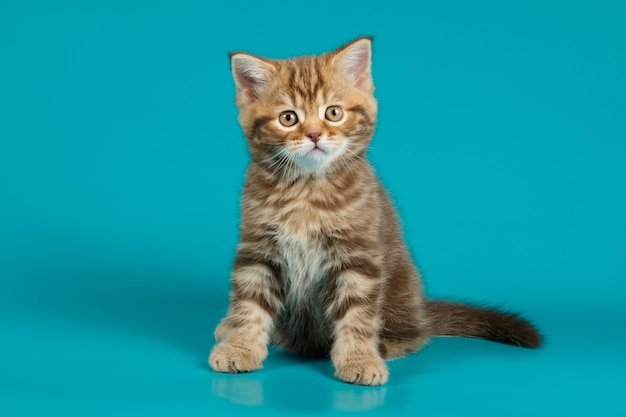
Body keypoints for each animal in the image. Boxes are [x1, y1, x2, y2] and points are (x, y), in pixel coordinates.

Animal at [207, 37, 540, 386]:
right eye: (288, 118)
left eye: (333, 113)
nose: (314, 135)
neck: (308, 190)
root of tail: (421, 309)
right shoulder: (258, 248)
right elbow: (249, 302)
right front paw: (240, 346)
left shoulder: (358, 255)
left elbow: (357, 313)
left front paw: (359, 358)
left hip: (401, 290)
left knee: (416, 334)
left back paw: (384, 344)